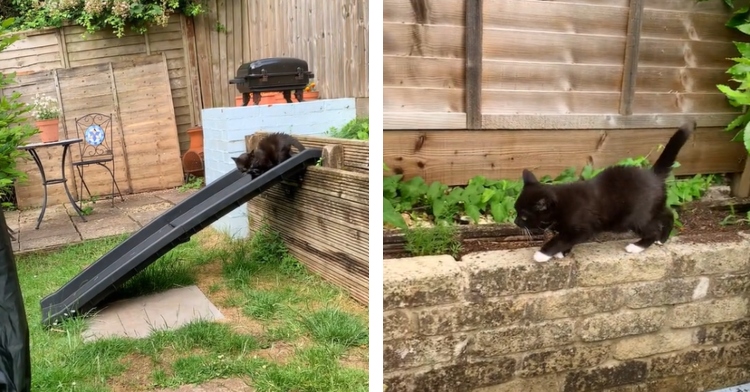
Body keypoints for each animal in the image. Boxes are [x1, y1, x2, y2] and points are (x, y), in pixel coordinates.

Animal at [516, 121, 696, 264]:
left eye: (524, 216)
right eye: (515, 210)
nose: (516, 222)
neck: (561, 205)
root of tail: (653, 175)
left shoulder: (582, 228)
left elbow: (562, 239)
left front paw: (543, 254)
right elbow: (565, 238)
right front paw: (563, 252)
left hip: (635, 217)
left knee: (652, 230)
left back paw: (637, 246)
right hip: (652, 208)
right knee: (668, 213)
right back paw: (662, 239)